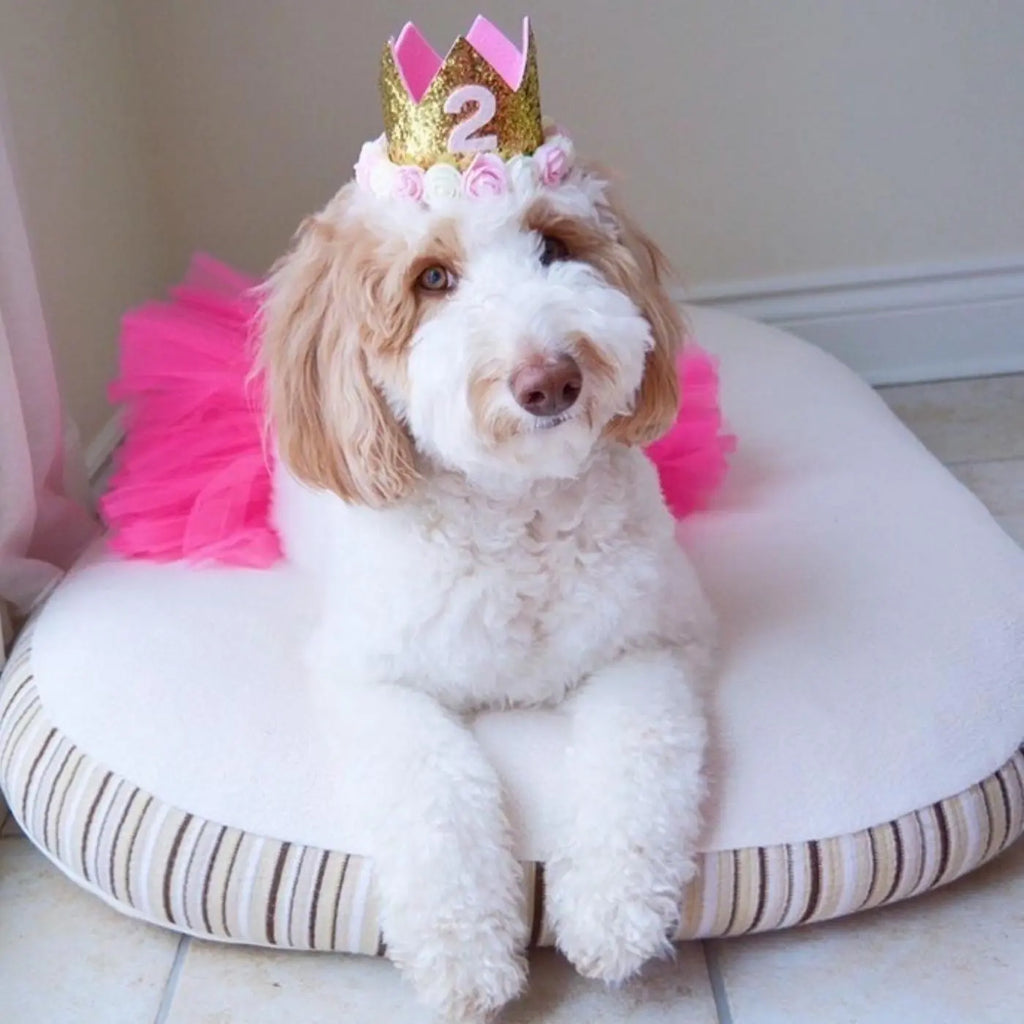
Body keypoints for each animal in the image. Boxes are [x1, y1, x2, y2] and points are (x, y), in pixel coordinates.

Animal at [260, 163, 716, 1019]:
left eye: (554, 244)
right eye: (432, 278)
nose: (551, 380)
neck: (519, 510)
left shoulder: (648, 645)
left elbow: (635, 758)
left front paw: (612, 910)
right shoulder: (373, 682)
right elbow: (436, 790)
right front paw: (465, 953)